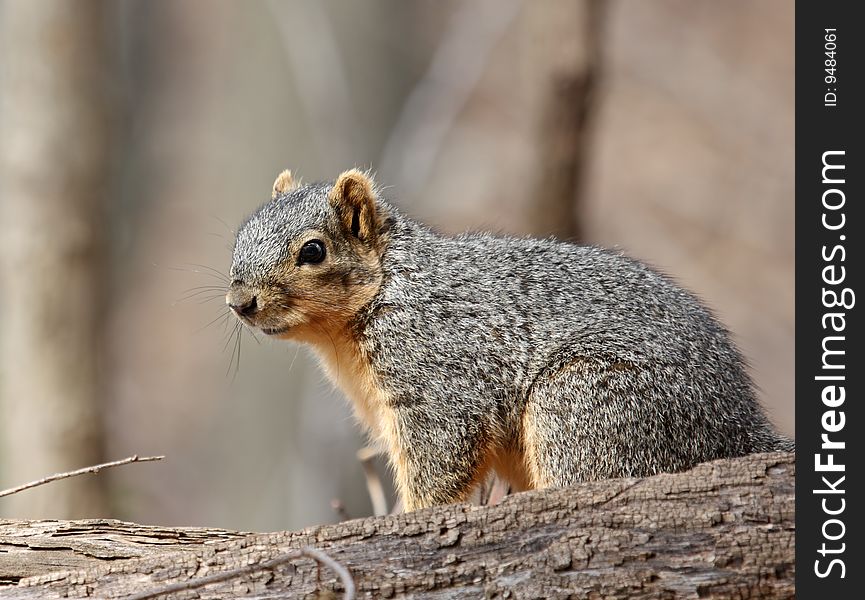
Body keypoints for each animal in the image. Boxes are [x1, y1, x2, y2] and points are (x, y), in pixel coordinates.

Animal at [226, 168, 792, 510]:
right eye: (240, 234)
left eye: (314, 251)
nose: (240, 302)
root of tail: (738, 429)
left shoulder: (436, 374)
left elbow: (441, 457)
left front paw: (407, 518)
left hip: (587, 406)